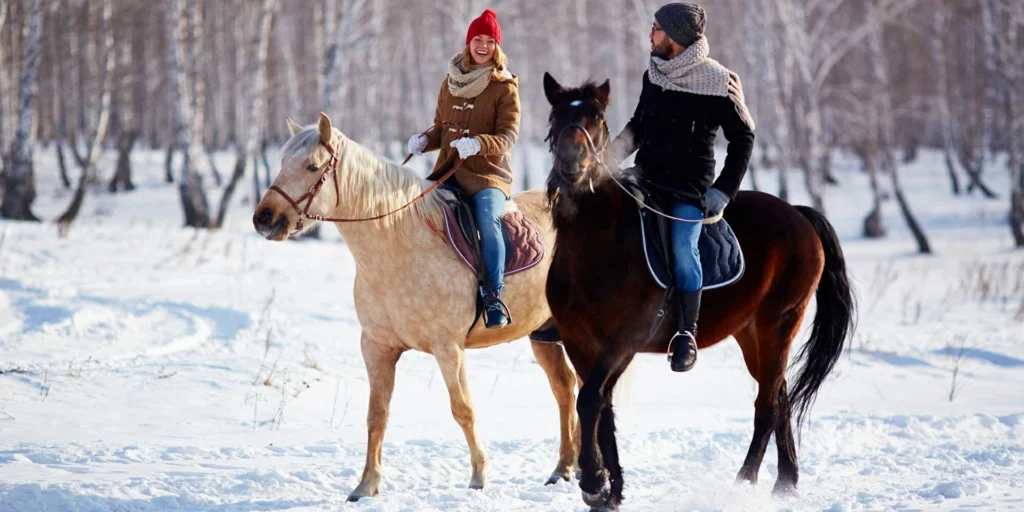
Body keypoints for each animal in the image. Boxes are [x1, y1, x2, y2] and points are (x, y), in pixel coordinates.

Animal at [252, 113, 581, 499]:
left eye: (312, 166)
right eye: (282, 163)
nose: (264, 218)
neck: (399, 244)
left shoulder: (448, 349)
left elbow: (462, 409)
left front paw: (478, 477)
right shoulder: (377, 348)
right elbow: (377, 414)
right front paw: (366, 484)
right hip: (543, 334)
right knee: (565, 388)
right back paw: (564, 468)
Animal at [544, 73, 856, 512]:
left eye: (597, 119)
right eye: (555, 117)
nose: (572, 164)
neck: (597, 244)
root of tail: (798, 213)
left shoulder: (623, 340)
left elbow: (590, 401)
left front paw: (593, 482)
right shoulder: (579, 342)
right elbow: (601, 407)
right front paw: (611, 491)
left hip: (779, 323)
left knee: (767, 405)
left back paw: (743, 483)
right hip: (751, 334)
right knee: (779, 396)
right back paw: (786, 482)